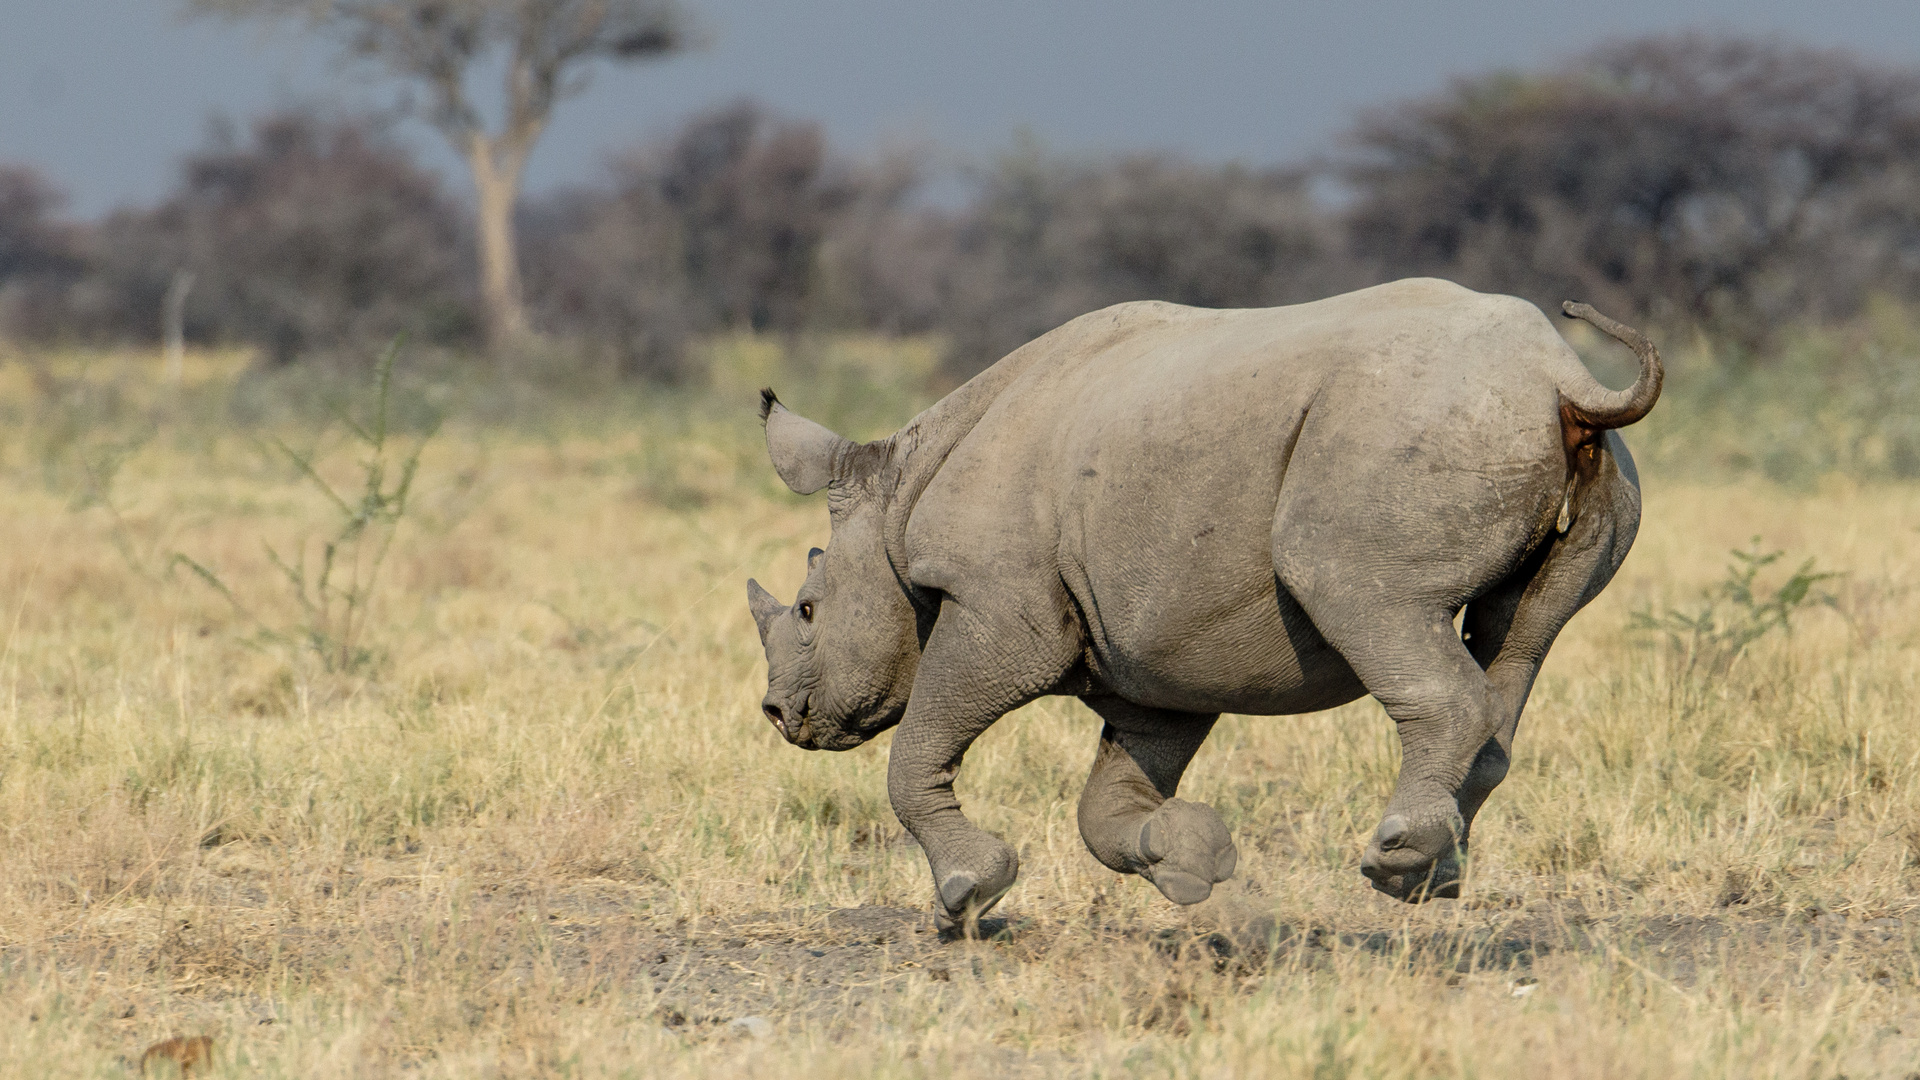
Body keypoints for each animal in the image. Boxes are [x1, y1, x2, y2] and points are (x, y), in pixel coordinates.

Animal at [741, 276, 1658, 926]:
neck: (895, 499)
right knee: (1523, 631)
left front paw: (973, 892)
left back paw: (1395, 856)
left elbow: (916, 749)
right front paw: (1196, 865)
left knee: (1371, 598)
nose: (780, 713)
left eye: (810, 610)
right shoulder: (1155, 656)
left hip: (1400, 438)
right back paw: (1430, 876)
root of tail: (1559, 373)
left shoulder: (1000, 608)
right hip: (1553, 454)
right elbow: (1108, 801)